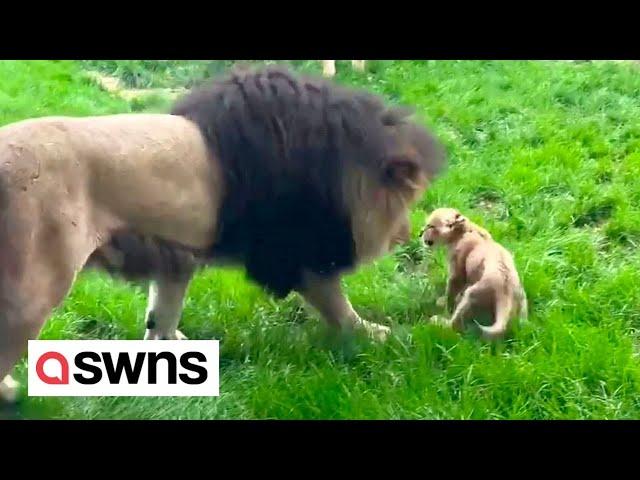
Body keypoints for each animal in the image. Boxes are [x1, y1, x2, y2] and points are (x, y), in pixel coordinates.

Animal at [0, 65, 444, 400]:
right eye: (406, 205)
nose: (407, 235)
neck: (344, 166)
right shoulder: (293, 251)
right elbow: (337, 303)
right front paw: (376, 335)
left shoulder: (176, 254)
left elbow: (163, 310)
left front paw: (168, 353)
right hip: (34, 287)